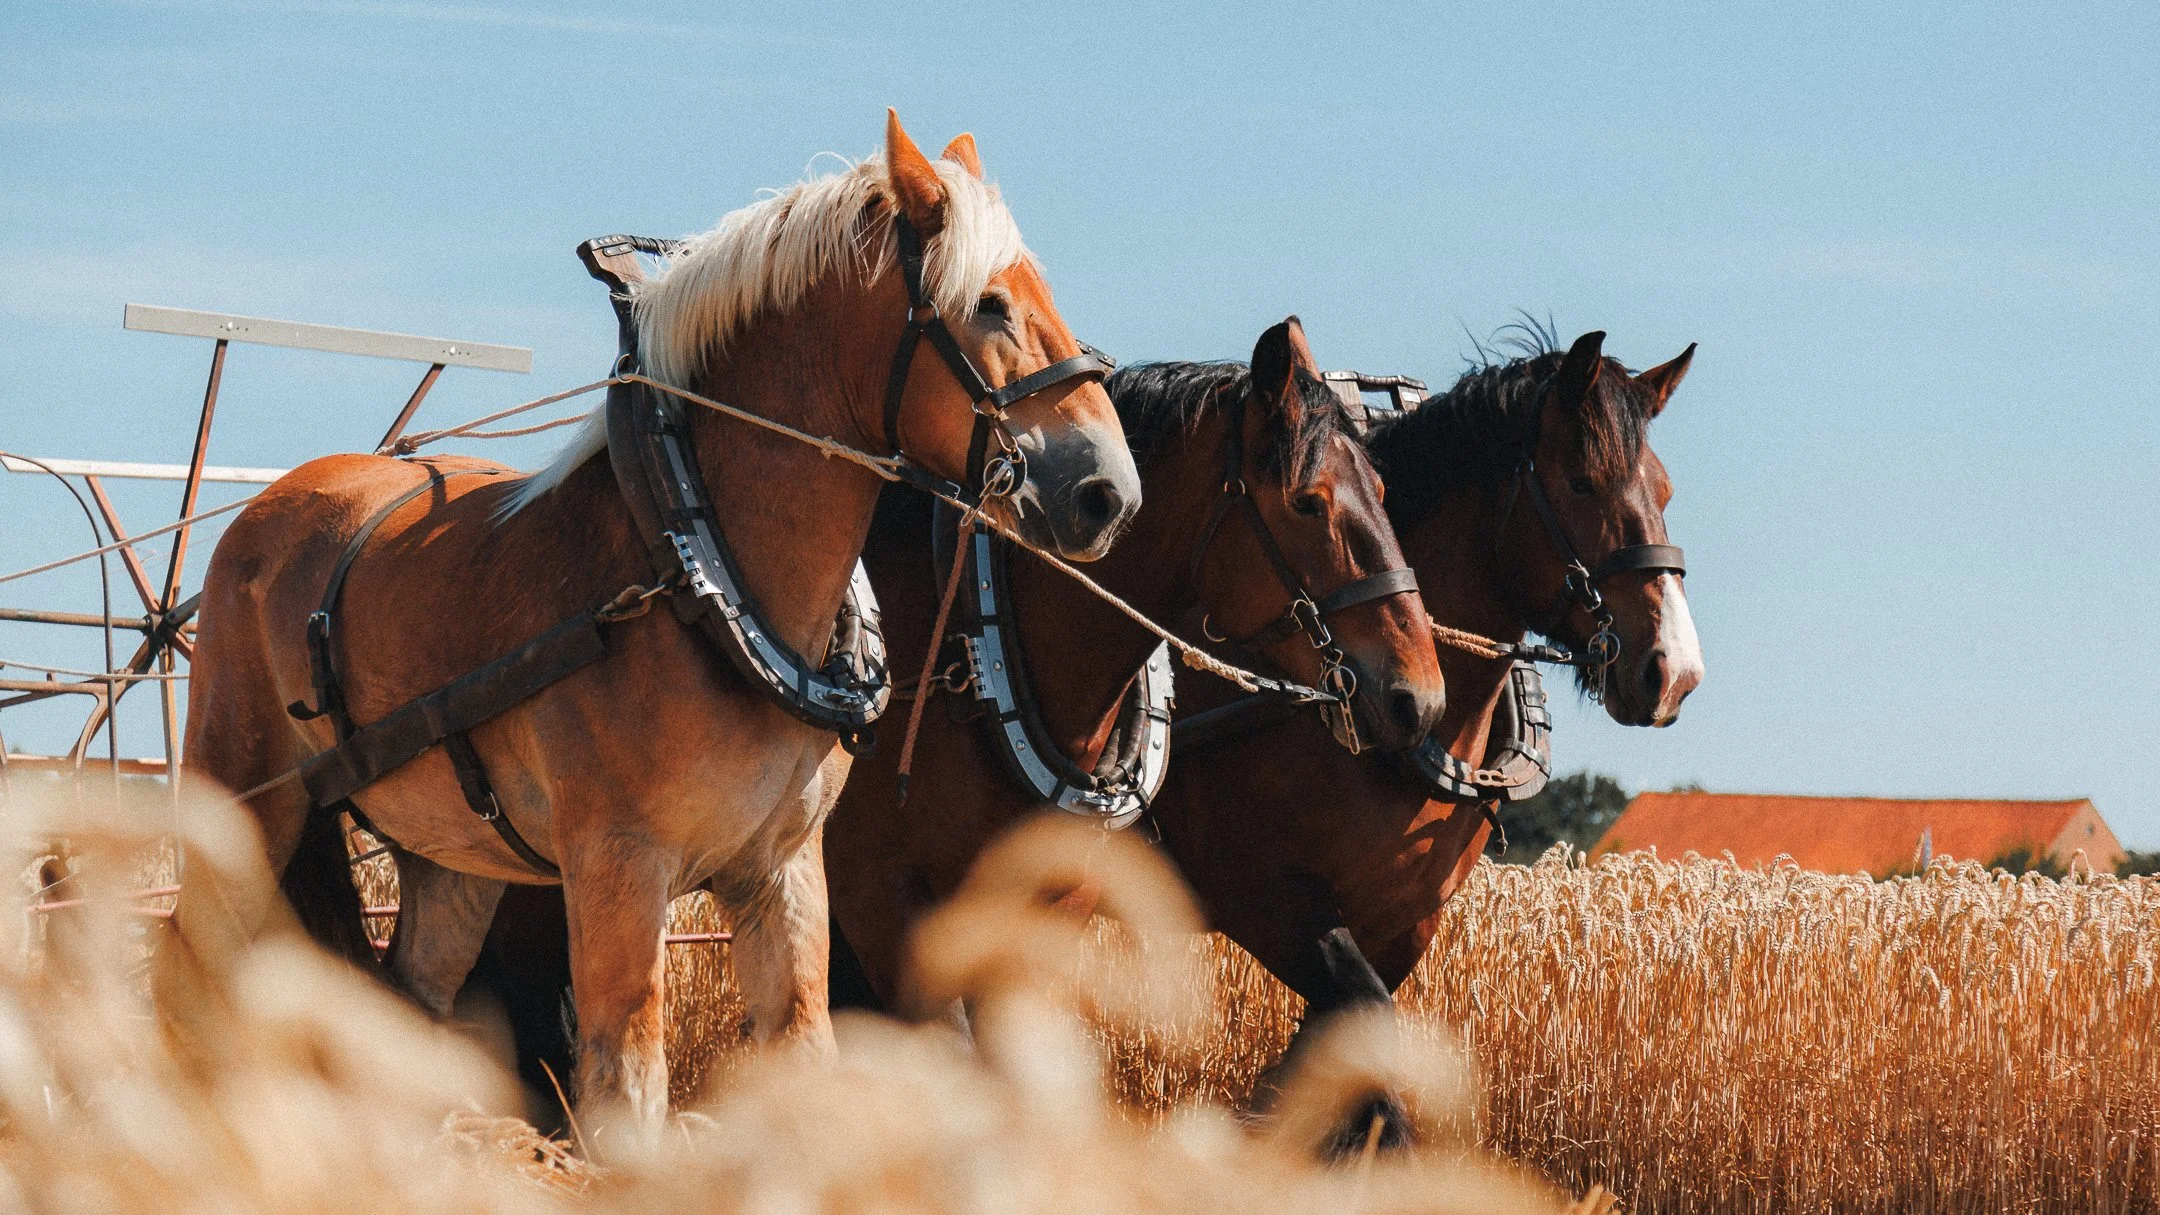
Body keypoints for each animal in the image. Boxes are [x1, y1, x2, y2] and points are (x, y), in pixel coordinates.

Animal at [160, 113, 1144, 1149]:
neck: (699, 579)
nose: (1108, 492)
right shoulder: (619, 869)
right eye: (990, 304)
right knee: (185, 971)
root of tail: (269, 510)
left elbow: (803, 1050)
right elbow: (627, 1082)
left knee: (411, 994)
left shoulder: (782, 871)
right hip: (242, 803)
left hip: (450, 858)